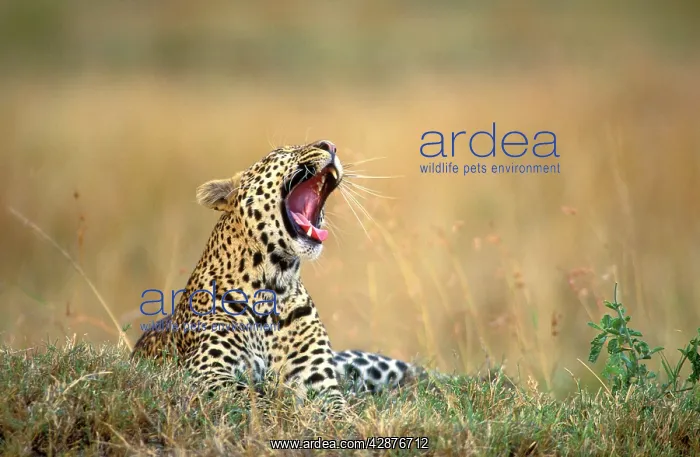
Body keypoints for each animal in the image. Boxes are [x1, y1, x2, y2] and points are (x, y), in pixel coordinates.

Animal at [131, 140, 429, 413]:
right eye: (283, 152)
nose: (330, 145)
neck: (275, 283)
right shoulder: (208, 371)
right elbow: (257, 400)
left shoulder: (318, 380)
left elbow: (339, 411)